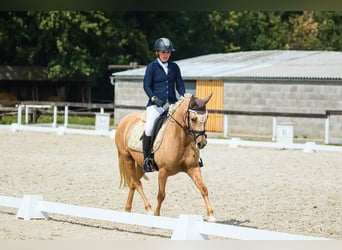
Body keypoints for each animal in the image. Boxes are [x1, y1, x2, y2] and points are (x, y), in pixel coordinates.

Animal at [115, 93, 216, 222]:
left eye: (206, 118)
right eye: (193, 119)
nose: (201, 143)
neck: (181, 140)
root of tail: (124, 120)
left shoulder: (193, 168)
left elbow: (204, 189)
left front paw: (211, 215)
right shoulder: (163, 171)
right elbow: (161, 195)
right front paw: (156, 215)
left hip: (141, 165)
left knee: (133, 182)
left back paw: (127, 209)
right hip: (127, 158)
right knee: (137, 183)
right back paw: (149, 209)